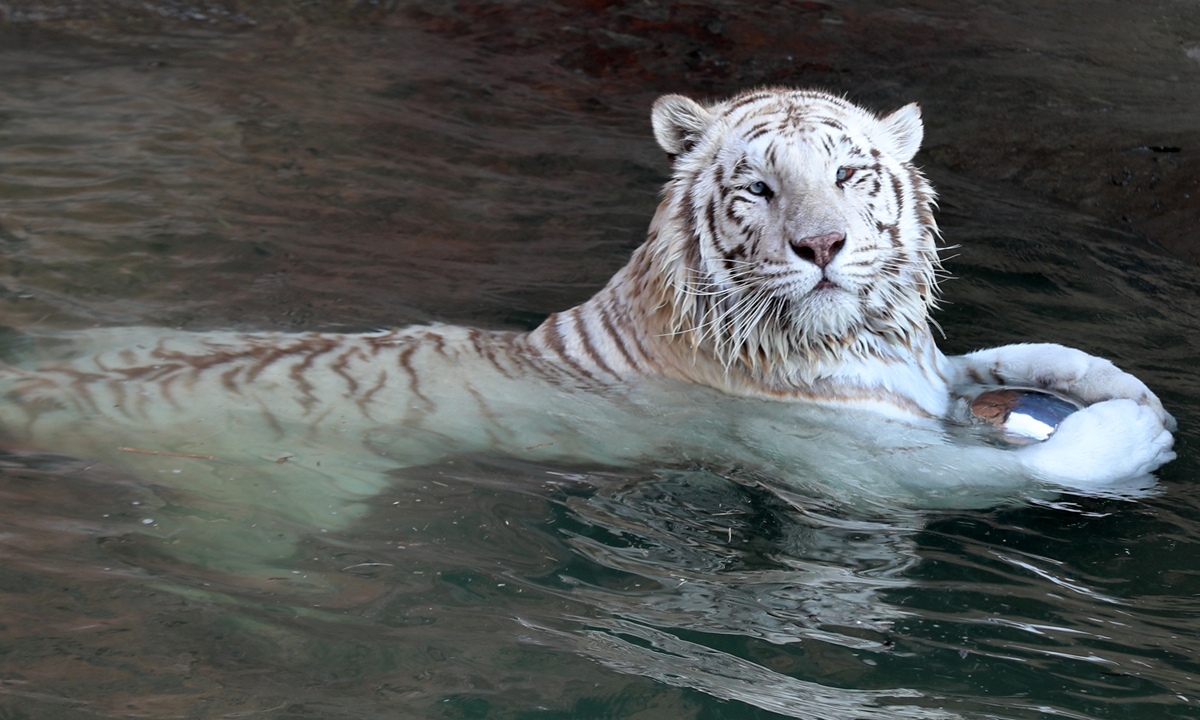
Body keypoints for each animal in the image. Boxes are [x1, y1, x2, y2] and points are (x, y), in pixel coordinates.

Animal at [0, 88, 1171, 556]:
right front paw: (1139, 431)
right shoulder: (851, 465)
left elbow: (991, 372)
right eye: (759, 188)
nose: (825, 245)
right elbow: (1015, 466)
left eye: (849, 174)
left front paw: (1053, 368)